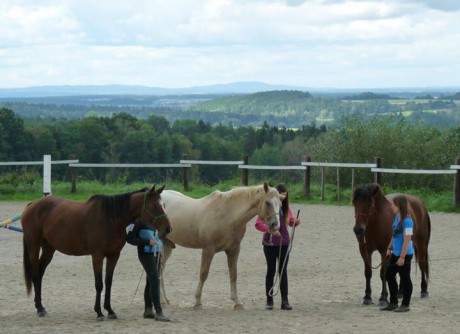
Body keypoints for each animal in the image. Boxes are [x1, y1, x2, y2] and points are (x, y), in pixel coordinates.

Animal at [20, 184, 172, 320]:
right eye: (154, 206)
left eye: (164, 204)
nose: (168, 229)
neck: (111, 219)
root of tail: (32, 205)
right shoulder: (97, 255)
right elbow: (99, 284)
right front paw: (99, 312)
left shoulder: (113, 255)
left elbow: (108, 282)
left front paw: (110, 310)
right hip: (34, 247)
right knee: (35, 274)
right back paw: (39, 309)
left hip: (48, 249)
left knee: (40, 274)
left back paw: (40, 306)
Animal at [160, 181, 282, 310]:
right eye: (267, 202)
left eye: (280, 204)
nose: (275, 226)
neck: (228, 215)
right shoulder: (208, 250)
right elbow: (203, 274)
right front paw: (198, 302)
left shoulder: (233, 250)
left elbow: (233, 275)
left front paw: (237, 302)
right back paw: (162, 300)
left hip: (167, 245)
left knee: (161, 268)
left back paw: (165, 299)